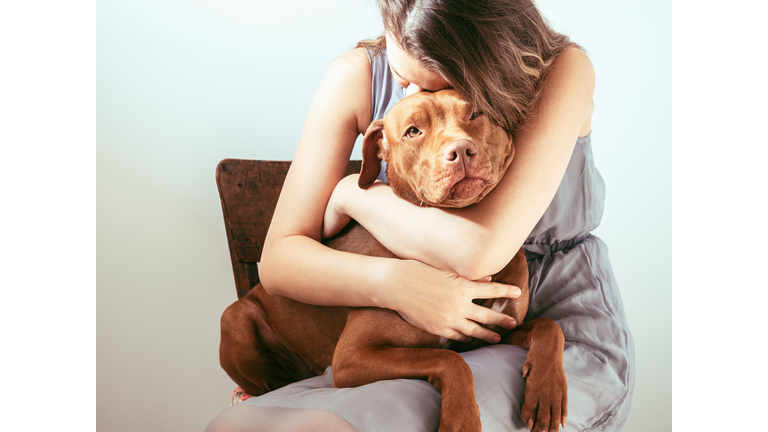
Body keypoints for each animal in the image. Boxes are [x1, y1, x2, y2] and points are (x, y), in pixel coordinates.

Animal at [219, 89, 568, 430]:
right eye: (413, 131)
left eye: (475, 114)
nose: (461, 149)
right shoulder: (352, 356)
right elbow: (447, 359)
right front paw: (461, 419)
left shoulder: (496, 331)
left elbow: (549, 327)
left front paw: (547, 391)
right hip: (236, 318)